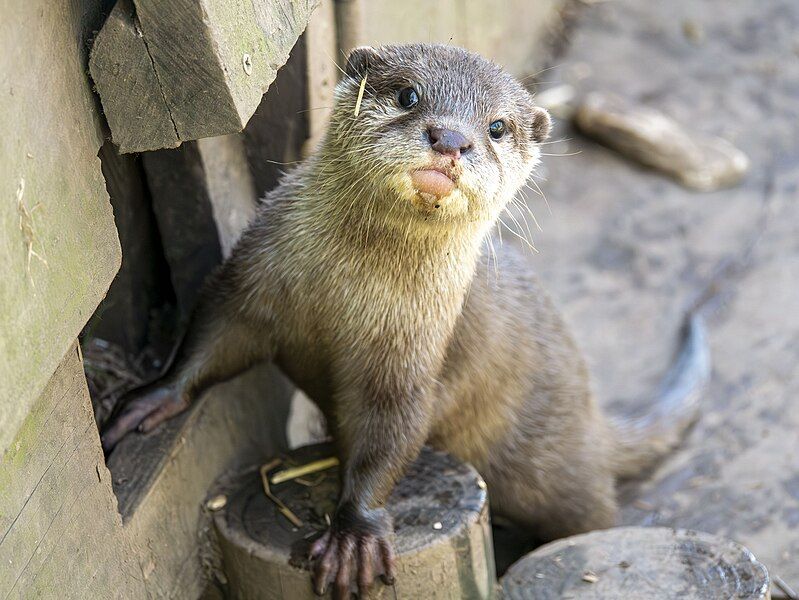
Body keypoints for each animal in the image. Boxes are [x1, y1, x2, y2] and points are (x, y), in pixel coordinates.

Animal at [103, 44, 708, 596]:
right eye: (408, 96)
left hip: (557, 465)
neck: (347, 294)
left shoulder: (411, 356)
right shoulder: (254, 278)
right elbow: (214, 333)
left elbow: (393, 433)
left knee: (592, 512)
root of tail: (593, 416)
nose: (452, 139)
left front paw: (354, 536)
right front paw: (147, 402)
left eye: (497, 127)